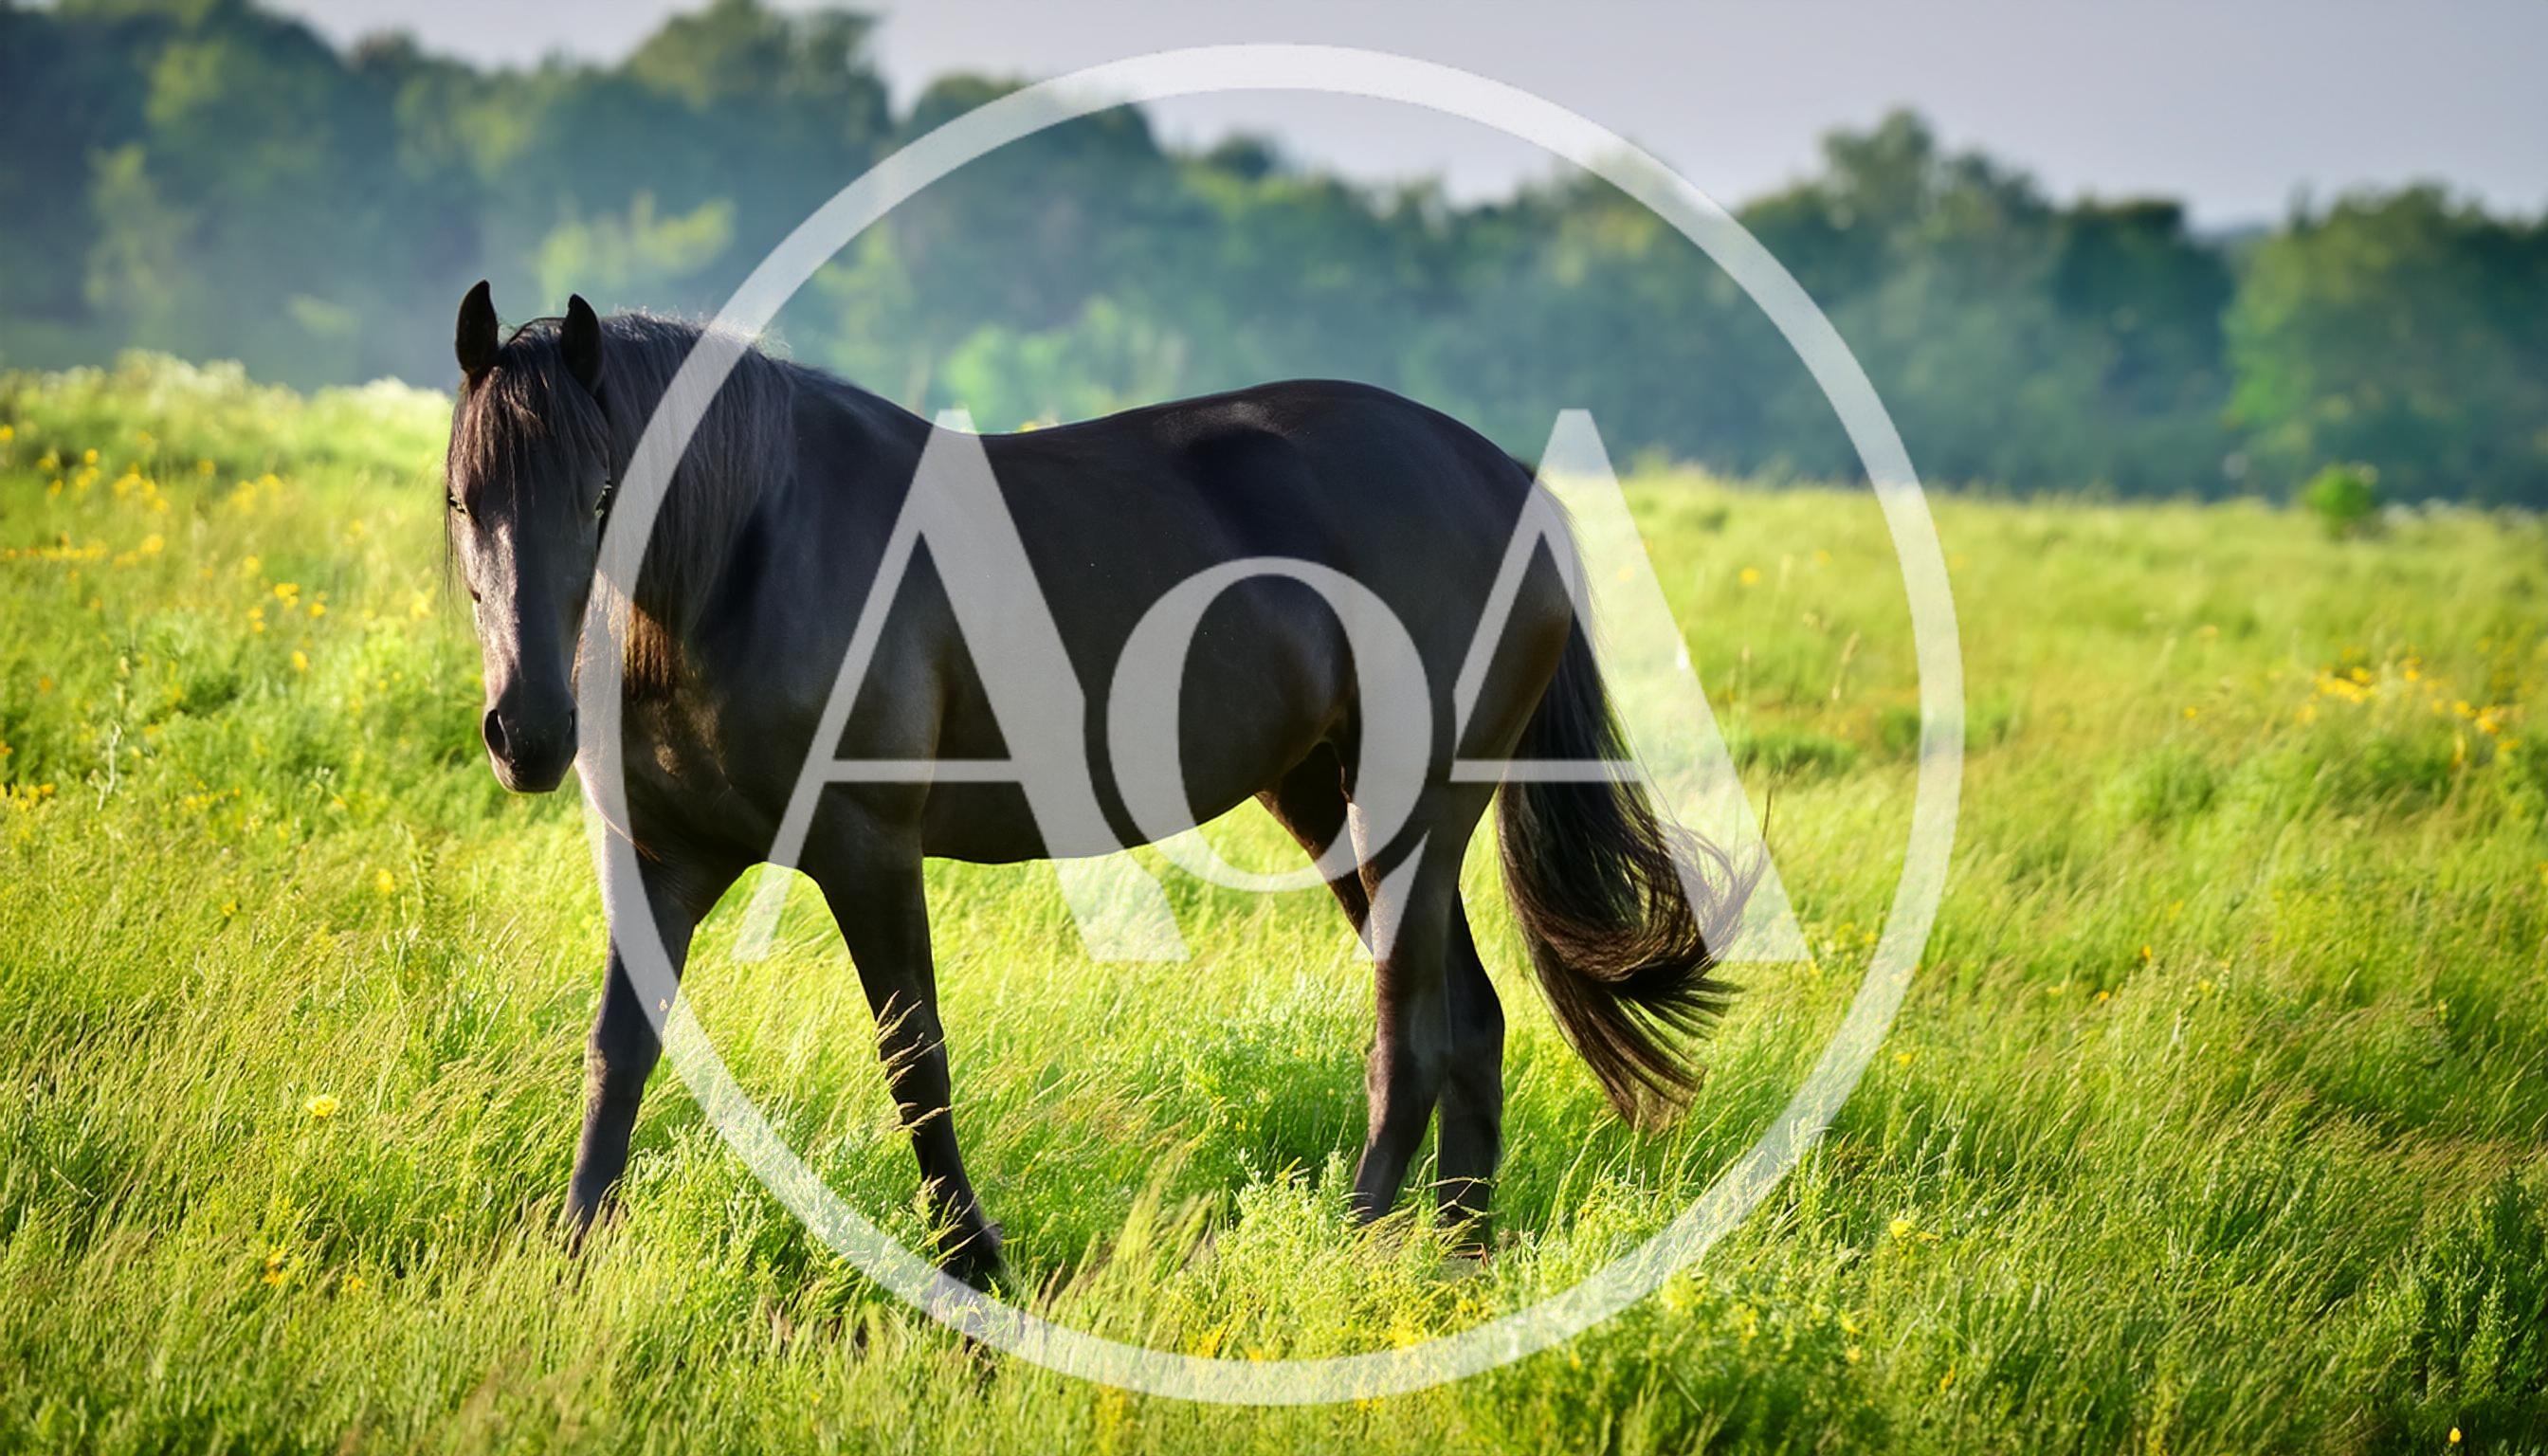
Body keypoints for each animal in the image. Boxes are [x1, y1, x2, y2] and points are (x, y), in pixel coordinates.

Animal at [443, 281, 1747, 1286]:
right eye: (464, 500)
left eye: (602, 496)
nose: (528, 733)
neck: (750, 554)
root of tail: (1507, 484)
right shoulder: (663, 860)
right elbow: (620, 1054)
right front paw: (569, 1256)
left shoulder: (868, 850)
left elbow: (914, 1061)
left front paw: (972, 1266)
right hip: (1328, 804)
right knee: (1469, 1024)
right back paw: (1449, 1267)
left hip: (1404, 812)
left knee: (1411, 1036)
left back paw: (1346, 1251)